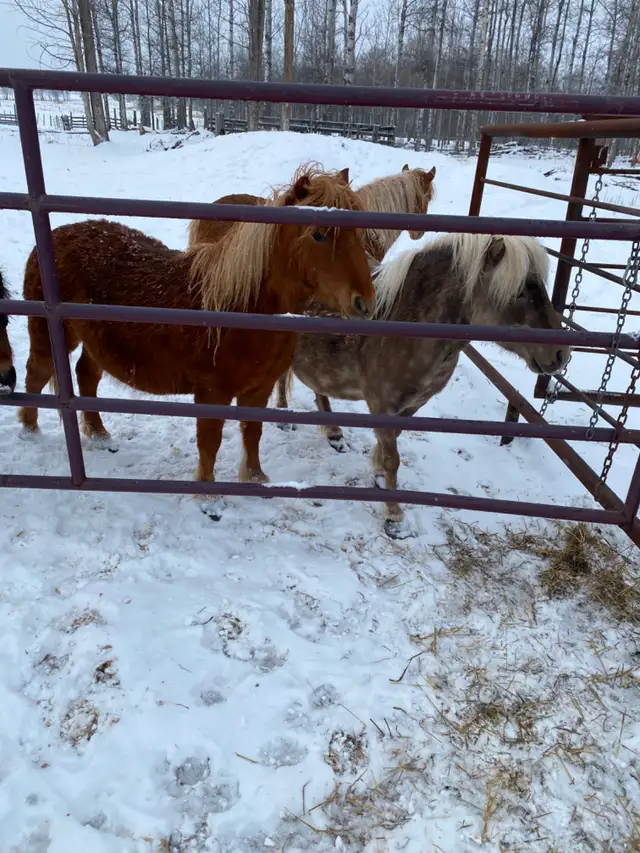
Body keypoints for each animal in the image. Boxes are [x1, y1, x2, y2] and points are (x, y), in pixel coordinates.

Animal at [19, 166, 376, 520]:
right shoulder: (211, 394)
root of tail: (52, 237)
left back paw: (99, 434)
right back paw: (29, 430)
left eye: (359, 232)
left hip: (96, 342)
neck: (241, 308)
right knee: (37, 372)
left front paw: (256, 479)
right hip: (50, 333)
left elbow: (253, 433)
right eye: (318, 234)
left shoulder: (258, 390)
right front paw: (208, 498)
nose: (364, 303)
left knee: (86, 375)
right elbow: (210, 441)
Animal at [276, 233, 571, 539]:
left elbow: (390, 447)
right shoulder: (382, 405)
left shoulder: (413, 404)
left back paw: (333, 433)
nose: (562, 355)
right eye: (520, 291)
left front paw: (378, 474)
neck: (406, 321)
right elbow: (393, 458)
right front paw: (394, 516)